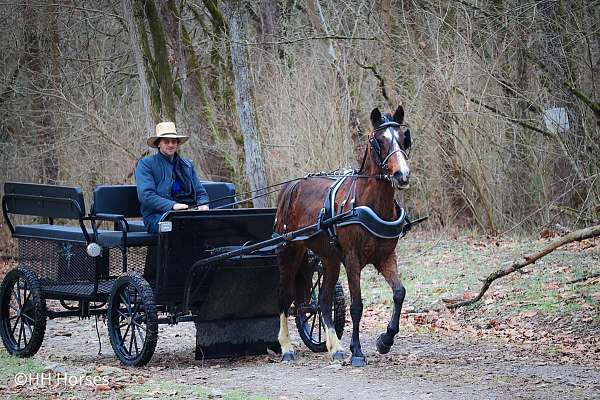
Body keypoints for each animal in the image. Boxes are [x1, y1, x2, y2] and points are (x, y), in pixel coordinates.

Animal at [274, 104, 410, 368]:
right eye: (379, 140)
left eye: (403, 138)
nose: (402, 175)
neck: (367, 203)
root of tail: (291, 187)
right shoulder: (352, 260)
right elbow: (357, 305)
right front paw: (357, 351)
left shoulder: (386, 257)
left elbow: (399, 293)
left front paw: (385, 340)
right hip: (289, 253)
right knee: (285, 298)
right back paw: (286, 347)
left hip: (329, 260)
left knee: (323, 303)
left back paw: (335, 347)